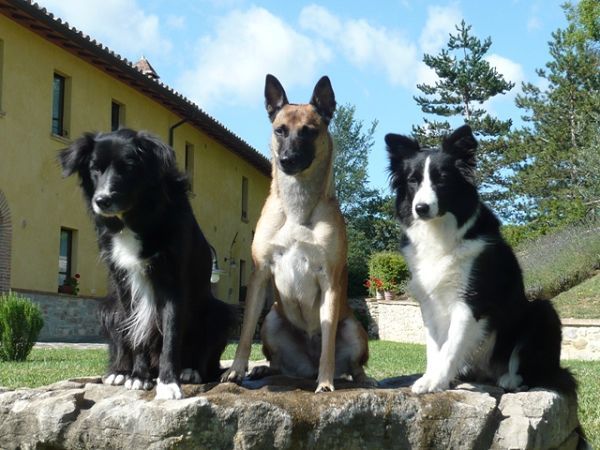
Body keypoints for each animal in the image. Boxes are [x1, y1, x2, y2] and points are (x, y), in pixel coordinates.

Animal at [59, 128, 232, 400]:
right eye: (94, 168)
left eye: (128, 168)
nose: (102, 200)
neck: (135, 217)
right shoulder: (124, 284)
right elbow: (136, 330)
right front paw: (138, 377)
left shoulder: (173, 283)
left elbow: (171, 334)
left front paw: (168, 383)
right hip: (108, 309)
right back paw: (120, 371)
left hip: (219, 313)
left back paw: (190, 370)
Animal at [223, 75, 368, 392]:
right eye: (280, 130)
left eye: (309, 132)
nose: (287, 159)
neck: (298, 208)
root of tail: (305, 367)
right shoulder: (260, 274)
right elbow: (244, 333)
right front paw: (237, 370)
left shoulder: (329, 279)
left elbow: (328, 342)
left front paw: (325, 382)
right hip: (272, 321)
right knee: (276, 361)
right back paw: (261, 369)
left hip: (354, 328)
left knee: (354, 365)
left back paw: (362, 379)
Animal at [384, 125, 576, 396]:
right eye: (413, 180)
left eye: (442, 178)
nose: (421, 208)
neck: (440, 232)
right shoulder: (430, 300)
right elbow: (435, 346)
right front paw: (431, 377)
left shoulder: (471, 300)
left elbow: (451, 345)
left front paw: (435, 382)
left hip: (541, 310)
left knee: (542, 371)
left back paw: (511, 379)